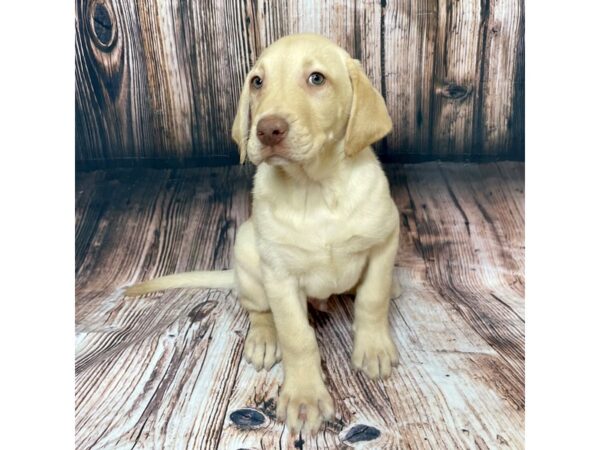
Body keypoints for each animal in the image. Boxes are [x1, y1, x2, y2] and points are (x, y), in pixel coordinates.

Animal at [126, 33, 398, 434]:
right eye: (257, 82)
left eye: (317, 78)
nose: (268, 130)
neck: (315, 188)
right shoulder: (280, 277)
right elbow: (297, 336)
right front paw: (304, 396)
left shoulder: (385, 242)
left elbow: (373, 299)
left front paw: (374, 348)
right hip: (246, 253)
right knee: (258, 310)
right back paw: (263, 339)